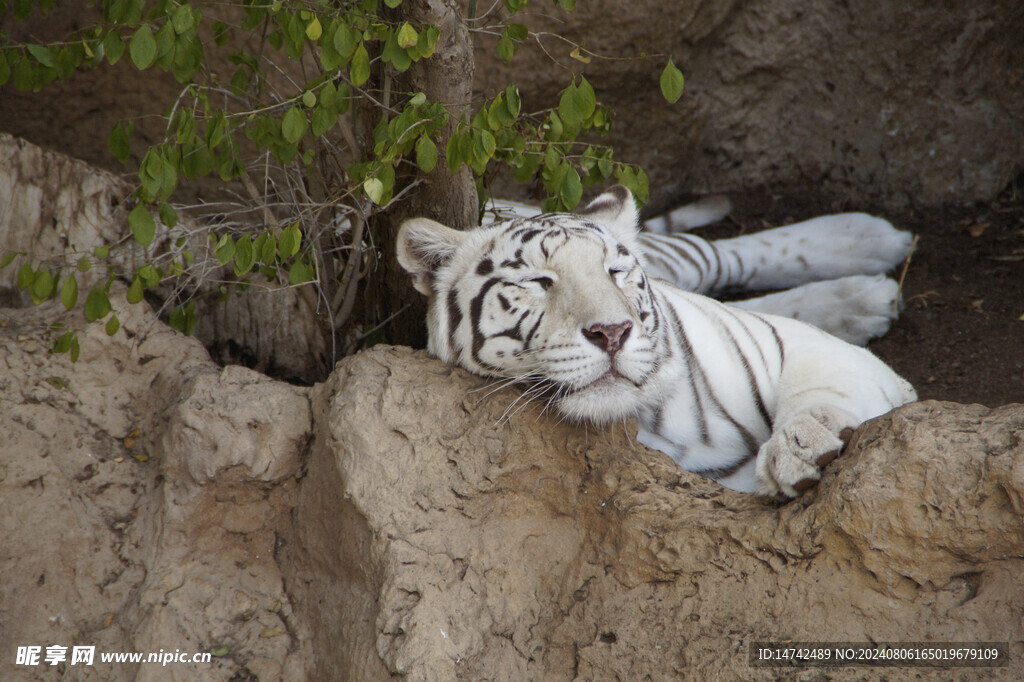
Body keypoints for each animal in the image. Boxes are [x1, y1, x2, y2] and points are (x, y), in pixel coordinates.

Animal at [397, 186, 917, 496]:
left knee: (715, 252)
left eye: (614, 271)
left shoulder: (805, 348)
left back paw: (866, 242)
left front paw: (801, 448)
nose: (611, 332)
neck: (653, 419)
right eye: (538, 281)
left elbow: (822, 393)